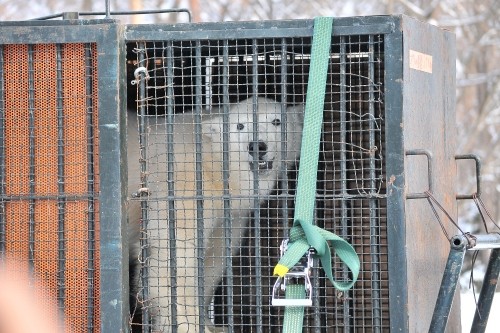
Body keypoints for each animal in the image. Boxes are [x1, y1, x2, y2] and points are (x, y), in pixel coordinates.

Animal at [127, 96, 302, 332]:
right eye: (239, 126)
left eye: (276, 121)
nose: (257, 146)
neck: (214, 162)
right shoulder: (183, 188)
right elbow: (174, 259)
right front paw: (189, 325)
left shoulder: (228, 214)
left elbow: (213, 259)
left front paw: (211, 325)